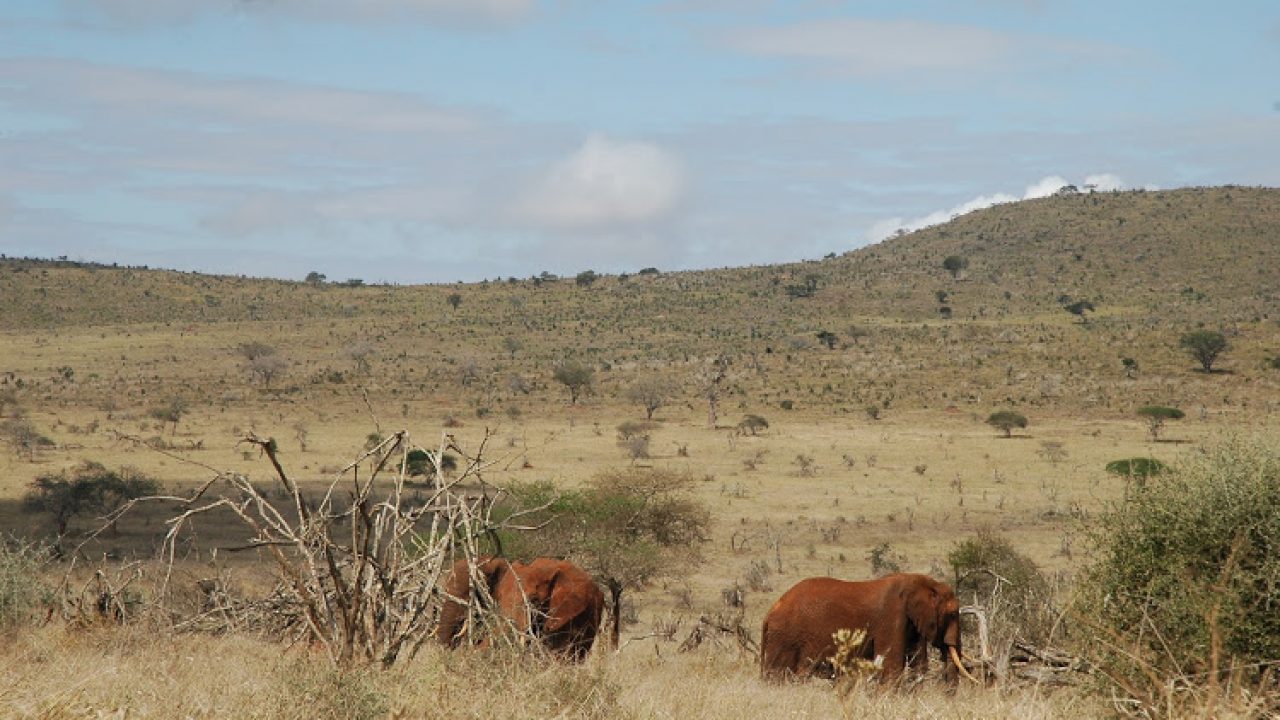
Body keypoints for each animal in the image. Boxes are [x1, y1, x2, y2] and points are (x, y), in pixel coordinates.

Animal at [761, 573, 978, 684]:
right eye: (952, 614)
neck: (925, 582)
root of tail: (770, 612)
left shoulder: (911, 623)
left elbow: (919, 663)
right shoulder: (892, 616)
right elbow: (892, 665)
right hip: (785, 638)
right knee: (778, 675)